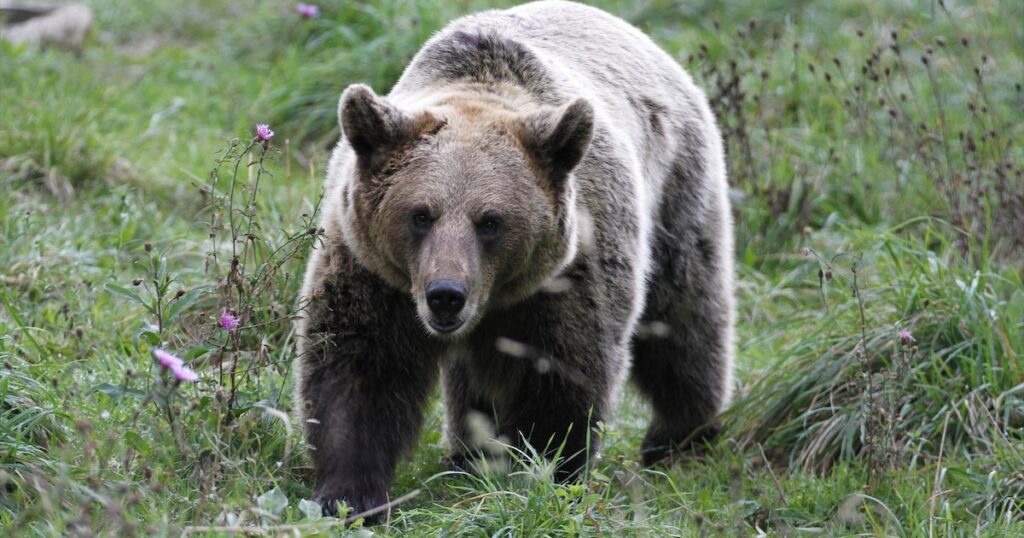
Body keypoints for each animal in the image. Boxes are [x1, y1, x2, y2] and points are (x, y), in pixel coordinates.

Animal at [294, 0, 734, 518]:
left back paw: (680, 436)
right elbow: (358, 367)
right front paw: (348, 495)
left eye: (490, 221)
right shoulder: (372, 269)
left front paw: (542, 473)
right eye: (420, 214)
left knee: (684, 320)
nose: (446, 296)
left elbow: (563, 372)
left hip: (677, 194)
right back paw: (467, 454)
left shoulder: (569, 273)